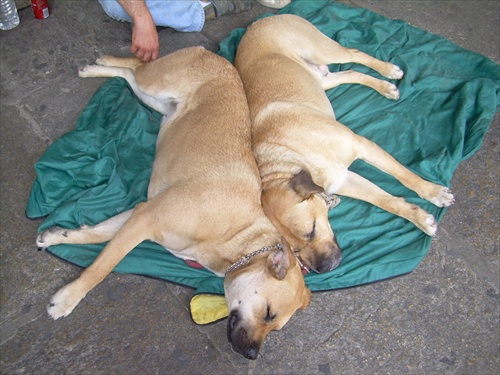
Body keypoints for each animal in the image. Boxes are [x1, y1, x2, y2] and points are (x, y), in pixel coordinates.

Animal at [36, 47, 308, 362]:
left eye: (275, 328)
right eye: (267, 313)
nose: (252, 354)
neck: (236, 239)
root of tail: (214, 55)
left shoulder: (138, 214)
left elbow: (95, 234)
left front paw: (58, 236)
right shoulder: (145, 219)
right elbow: (101, 267)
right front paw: (67, 299)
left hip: (153, 98)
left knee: (128, 75)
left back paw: (97, 69)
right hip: (156, 82)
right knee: (137, 64)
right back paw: (102, 63)